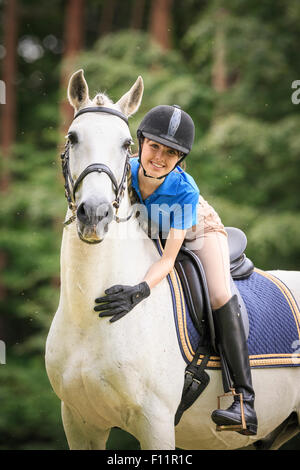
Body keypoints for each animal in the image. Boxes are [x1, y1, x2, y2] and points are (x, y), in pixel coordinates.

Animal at [45, 69, 300, 448]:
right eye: (72, 137)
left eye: (126, 145)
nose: (95, 214)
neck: (87, 319)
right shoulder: (79, 422)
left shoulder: (156, 422)